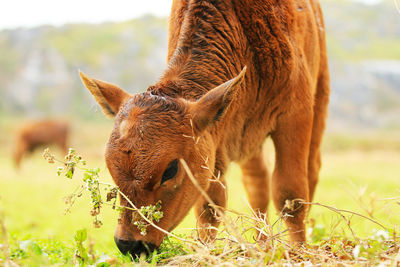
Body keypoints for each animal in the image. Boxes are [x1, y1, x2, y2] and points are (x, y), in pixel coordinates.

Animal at [79, 0, 330, 258]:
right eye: (110, 167)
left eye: (170, 170)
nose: (130, 244)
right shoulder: (215, 137)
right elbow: (210, 206)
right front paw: (205, 250)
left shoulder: (294, 115)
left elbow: (291, 193)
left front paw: (299, 252)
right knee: (257, 183)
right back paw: (262, 244)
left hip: (319, 97)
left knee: (311, 169)